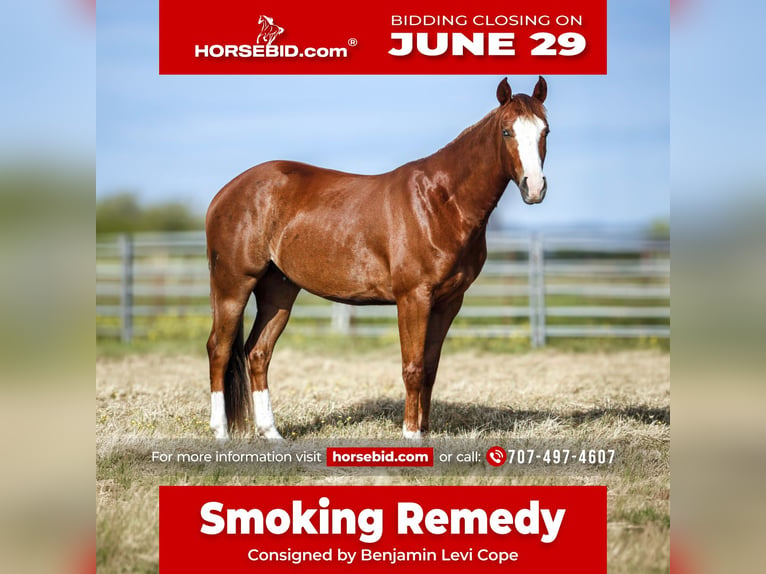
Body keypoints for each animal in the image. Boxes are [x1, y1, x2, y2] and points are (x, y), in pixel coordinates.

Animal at [205, 77, 549, 440]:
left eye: (545, 131)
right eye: (507, 131)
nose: (534, 187)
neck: (439, 202)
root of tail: (225, 193)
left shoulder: (448, 302)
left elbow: (430, 367)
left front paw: (424, 431)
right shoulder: (413, 297)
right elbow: (413, 368)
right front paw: (411, 435)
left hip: (279, 290)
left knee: (258, 352)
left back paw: (271, 433)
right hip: (233, 285)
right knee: (219, 350)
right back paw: (221, 432)